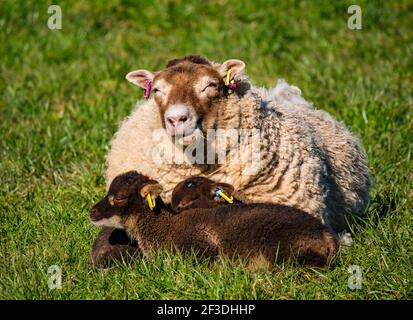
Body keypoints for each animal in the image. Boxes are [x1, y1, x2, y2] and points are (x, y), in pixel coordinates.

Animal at [89, 172, 334, 268]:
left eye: (120, 197)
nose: (91, 212)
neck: (163, 226)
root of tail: (323, 233)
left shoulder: (199, 247)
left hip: (285, 249)